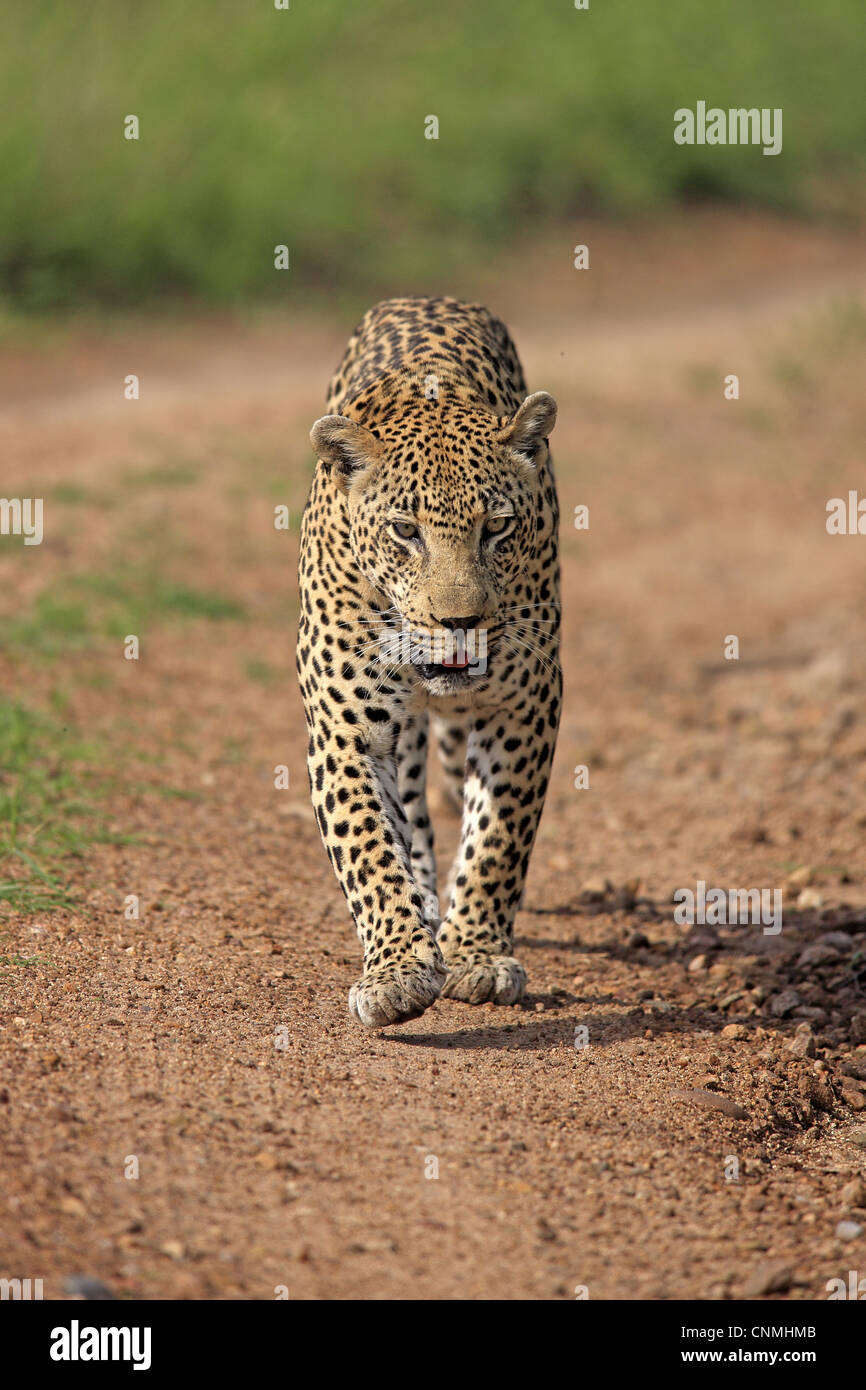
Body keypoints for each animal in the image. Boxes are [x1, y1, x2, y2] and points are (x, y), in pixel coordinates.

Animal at [296, 296, 561, 1027]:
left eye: (496, 527)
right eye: (404, 531)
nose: (460, 622)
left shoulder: (525, 702)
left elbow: (498, 834)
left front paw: (476, 953)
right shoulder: (347, 728)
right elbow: (366, 843)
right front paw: (398, 968)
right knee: (411, 817)